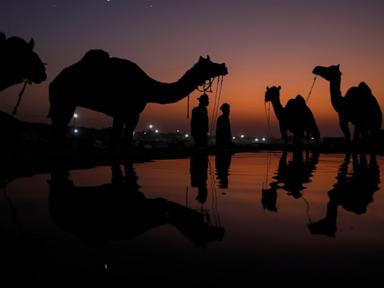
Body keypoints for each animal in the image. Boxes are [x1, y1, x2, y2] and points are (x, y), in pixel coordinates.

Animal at [48, 49, 228, 150]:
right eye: (209, 64)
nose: (224, 66)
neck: (147, 87)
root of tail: (54, 81)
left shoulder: (127, 113)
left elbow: (120, 140)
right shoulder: (126, 112)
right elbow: (120, 141)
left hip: (67, 102)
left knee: (59, 128)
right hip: (63, 100)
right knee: (59, 126)